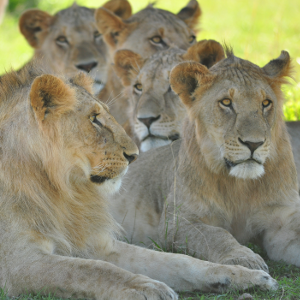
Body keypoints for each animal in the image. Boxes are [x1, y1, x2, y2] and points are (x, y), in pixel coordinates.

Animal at [0, 62, 276, 298]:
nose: (133, 155)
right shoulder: (21, 264)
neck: (63, 191)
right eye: (94, 119)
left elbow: (178, 261)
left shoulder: (97, 244)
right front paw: (146, 288)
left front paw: (245, 275)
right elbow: (93, 271)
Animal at [109, 48, 300, 272]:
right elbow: (216, 235)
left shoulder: (282, 220)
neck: (241, 186)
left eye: (266, 103)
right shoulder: (177, 222)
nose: (254, 143)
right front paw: (243, 259)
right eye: (226, 103)